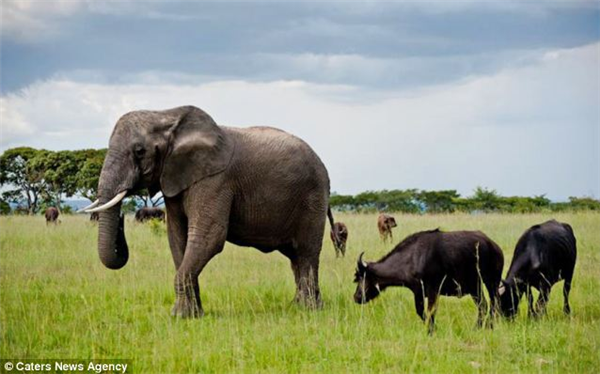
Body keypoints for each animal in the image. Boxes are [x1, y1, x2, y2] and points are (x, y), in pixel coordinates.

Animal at [80, 106, 336, 318]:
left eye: (140, 151)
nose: (122, 218)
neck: (167, 115)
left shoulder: (215, 180)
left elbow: (208, 237)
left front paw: (180, 316)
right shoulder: (175, 180)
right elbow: (177, 238)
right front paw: (192, 315)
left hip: (312, 198)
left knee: (306, 253)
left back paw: (309, 310)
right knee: (295, 257)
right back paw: (299, 306)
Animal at [354, 229, 504, 334]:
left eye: (361, 277)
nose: (356, 297)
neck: (413, 257)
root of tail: (494, 246)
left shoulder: (433, 290)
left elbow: (431, 311)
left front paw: (431, 331)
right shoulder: (418, 292)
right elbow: (421, 312)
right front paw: (433, 328)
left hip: (491, 282)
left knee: (494, 304)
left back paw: (489, 326)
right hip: (475, 287)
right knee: (483, 306)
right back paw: (478, 327)